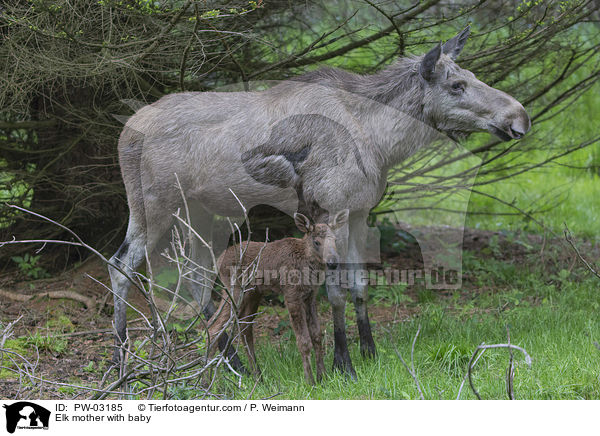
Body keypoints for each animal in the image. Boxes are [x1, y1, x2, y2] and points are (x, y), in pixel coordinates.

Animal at [209, 211, 350, 384]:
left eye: (335, 240)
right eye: (316, 242)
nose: (333, 263)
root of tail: (218, 261)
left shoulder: (310, 295)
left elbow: (316, 335)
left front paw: (322, 376)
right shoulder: (291, 294)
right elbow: (303, 341)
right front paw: (310, 381)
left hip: (252, 294)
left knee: (244, 327)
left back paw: (258, 377)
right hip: (233, 290)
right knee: (213, 327)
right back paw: (206, 382)